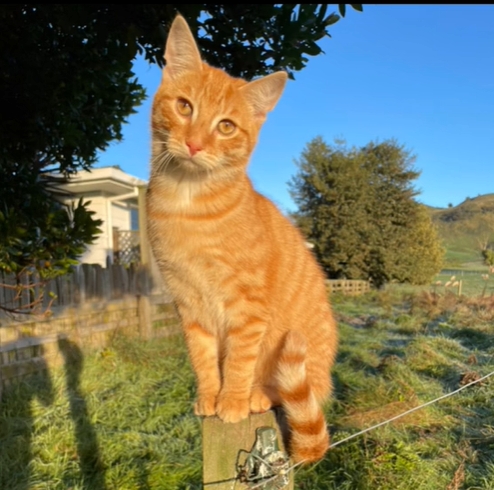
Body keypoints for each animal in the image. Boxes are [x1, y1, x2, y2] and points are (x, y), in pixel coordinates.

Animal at [145, 13, 338, 462]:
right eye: (184, 106)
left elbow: (238, 359)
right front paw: (209, 396)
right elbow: (202, 357)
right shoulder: (188, 303)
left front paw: (231, 400)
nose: (194, 144)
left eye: (226, 126)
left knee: (300, 391)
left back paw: (257, 394)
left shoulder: (247, 307)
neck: (188, 203)